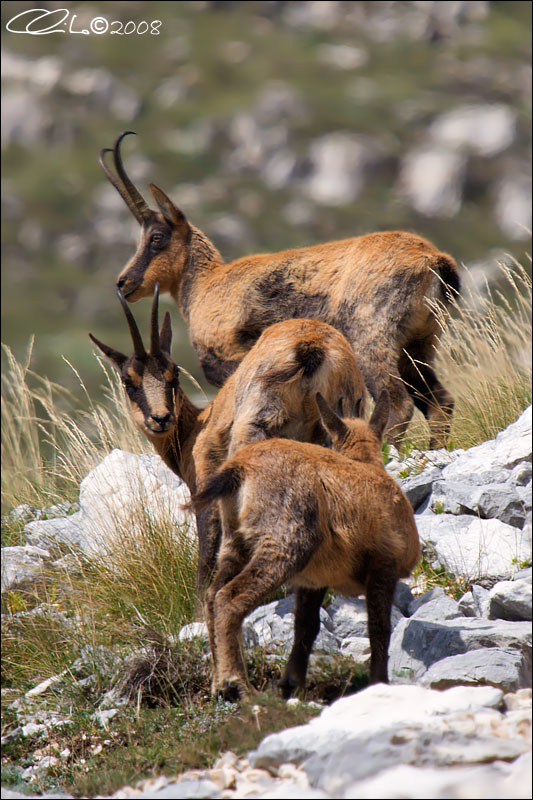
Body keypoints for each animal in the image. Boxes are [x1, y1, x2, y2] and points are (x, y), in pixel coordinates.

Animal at [88, 284, 366, 584]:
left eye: (174, 373)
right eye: (128, 381)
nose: (161, 418)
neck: (196, 429)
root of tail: (310, 345)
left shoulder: (206, 491)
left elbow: (205, 562)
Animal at [102, 128, 460, 446]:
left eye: (156, 237)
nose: (123, 282)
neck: (207, 286)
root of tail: (435, 261)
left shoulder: (233, 360)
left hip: (372, 341)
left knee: (400, 404)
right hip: (418, 345)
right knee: (440, 401)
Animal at [190, 390, 420, 704]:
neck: (367, 464)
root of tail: (240, 469)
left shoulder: (316, 578)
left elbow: (306, 626)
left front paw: (291, 682)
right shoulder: (384, 562)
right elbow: (379, 629)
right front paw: (379, 683)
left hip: (234, 543)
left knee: (212, 595)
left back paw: (218, 683)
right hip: (286, 541)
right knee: (230, 598)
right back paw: (237, 684)